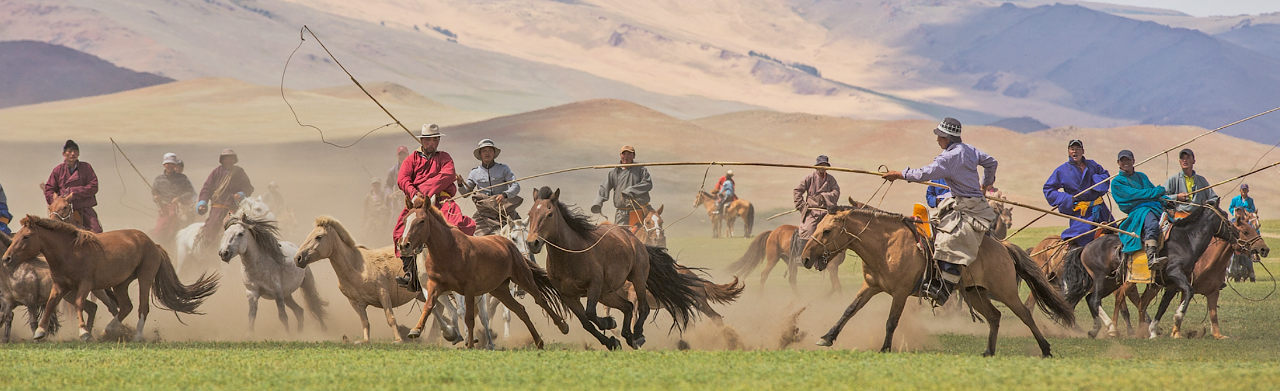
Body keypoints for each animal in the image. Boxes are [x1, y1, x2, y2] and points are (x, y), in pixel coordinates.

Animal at [1, 214, 220, 338]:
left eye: (26, 237)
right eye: (17, 235)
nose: (7, 258)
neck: (69, 251)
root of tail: (153, 244)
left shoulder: (85, 285)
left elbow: (80, 304)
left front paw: (83, 332)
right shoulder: (60, 286)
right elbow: (50, 304)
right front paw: (40, 332)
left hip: (145, 278)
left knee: (142, 307)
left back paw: (137, 335)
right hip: (121, 283)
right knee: (125, 306)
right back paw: (107, 330)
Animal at [295, 214, 465, 343]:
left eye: (319, 236)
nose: (298, 258)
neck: (357, 267)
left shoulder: (383, 294)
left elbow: (390, 317)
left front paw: (398, 340)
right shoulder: (355, 302)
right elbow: (365, 322)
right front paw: (364, 340)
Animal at [394, 194, 565, 346]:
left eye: (422, 221)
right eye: (404, 220)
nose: (404, 245)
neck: (448, 249)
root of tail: (507, 245)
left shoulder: (468, 288)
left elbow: (467, 315)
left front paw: (470, 341)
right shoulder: (433, 285)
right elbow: (431, 306)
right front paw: (418, 330)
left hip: (522, 278)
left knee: (538, 300)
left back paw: (562, 326)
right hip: (499, 289)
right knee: (519, 310)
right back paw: (538, 342)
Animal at [522, 187, 706, 348]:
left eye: (549, 214)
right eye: (530, 214)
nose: (532, 243)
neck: (571, 253)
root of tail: (635, 240)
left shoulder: (594, 286)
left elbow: (590, 313)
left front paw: (608, 323)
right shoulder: (568, 296)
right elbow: (586, 323)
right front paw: (611, 341)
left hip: (637, 278)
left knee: (643, 308)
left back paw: (637, 335)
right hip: (607, 294)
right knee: (628, 307)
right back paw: (627, 336)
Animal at [803, 199, 1075, 353]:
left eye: (827, 231)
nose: (805, 258)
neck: (885, 244)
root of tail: (1003, 247)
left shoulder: (900, 292)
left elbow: (891, 320)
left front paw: (885, 348)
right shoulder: (870, 286)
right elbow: (849, 310)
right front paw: (827, 338)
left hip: (1005, 290)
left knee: (1025, 314)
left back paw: (1046, 349)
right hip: (974, 293)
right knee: (994, 317)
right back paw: (988, 352)